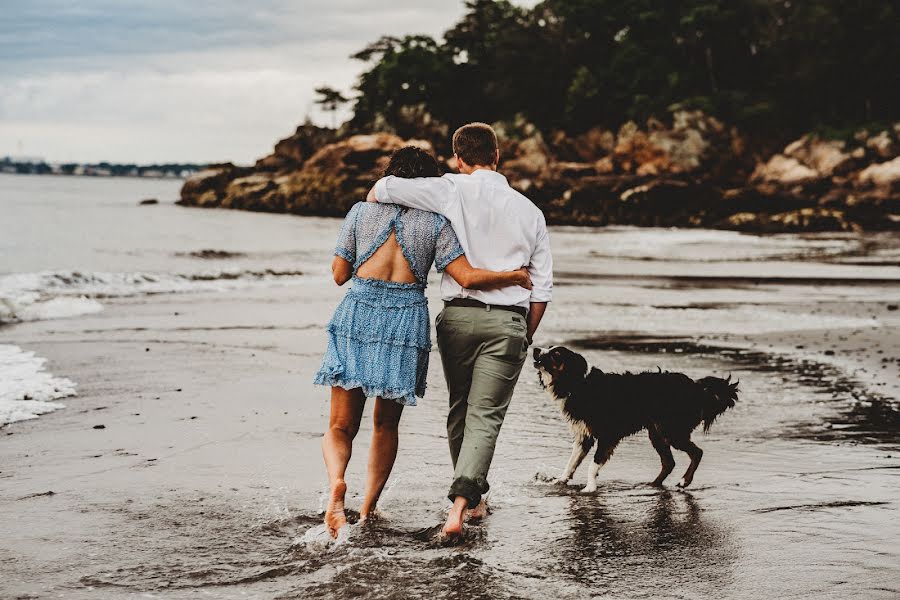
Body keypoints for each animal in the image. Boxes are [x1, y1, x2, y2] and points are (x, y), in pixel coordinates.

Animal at [532, 344, 736, 490]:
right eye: (548, 348)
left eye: (556, 354)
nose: (534, 349)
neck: (578, 384)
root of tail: (696, 388)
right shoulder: (584, 436)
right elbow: (571, 463)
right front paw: (559, 481)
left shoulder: (607, 435)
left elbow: (592, 465)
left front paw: (589, 488)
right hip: (657, 433)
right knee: (669, 462)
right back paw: (653, 485)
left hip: (672, 431)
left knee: (697, 453)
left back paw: (684, 481)